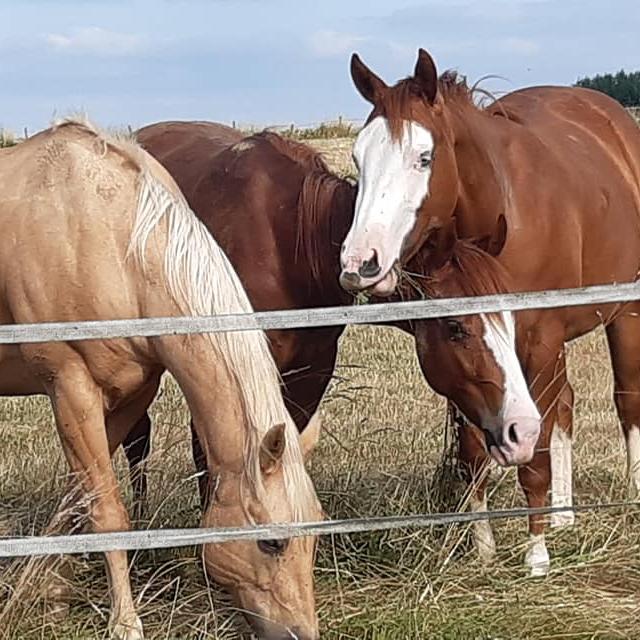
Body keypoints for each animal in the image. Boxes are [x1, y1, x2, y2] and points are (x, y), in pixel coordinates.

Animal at [0, 121, 322, 640]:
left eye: (317, 525)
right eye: (272, 543)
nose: (302, 633)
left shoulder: (129, 394)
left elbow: (77, 499)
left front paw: (39, 588)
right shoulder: (70, 387)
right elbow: (107, 510)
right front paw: (124, 622)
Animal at [340, 47, 640, 572]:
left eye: (424, 157)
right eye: (359, 157)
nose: (361, 263)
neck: (502, 206)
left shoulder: (538, 339)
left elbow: (533, 453)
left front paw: (536, 554)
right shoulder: (459, 349)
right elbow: (475, 452)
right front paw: (484, 547)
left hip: (624, 315)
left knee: (627, 401)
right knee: (565, 405)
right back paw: (564, 515)